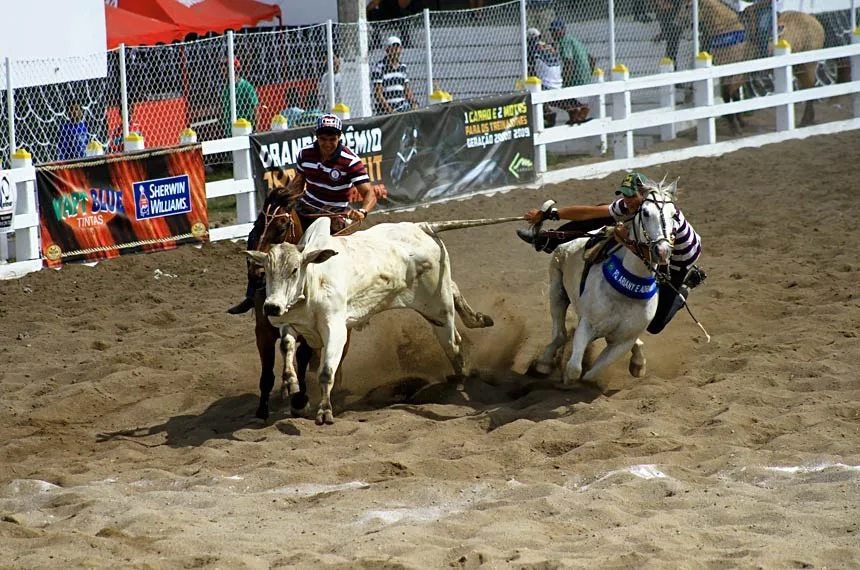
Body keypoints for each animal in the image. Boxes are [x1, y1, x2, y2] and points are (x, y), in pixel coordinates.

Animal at [245, 215, 510, 424]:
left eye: (294, 270)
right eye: (267, 270)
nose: (271, 306)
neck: (314, 280)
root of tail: (422, 226)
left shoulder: (336, 330)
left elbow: (327, 371)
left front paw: (325, 411)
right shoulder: (292, 323)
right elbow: (287, 344)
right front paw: (290, 382)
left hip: (439, 308)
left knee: (454, 345)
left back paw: (460, 383)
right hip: (439, 300)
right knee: (454, 295)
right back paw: (478, 319)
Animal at [532, 178, 680, 382]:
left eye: (674, 214)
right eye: (645, 212)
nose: (662, 250)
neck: (626, 293)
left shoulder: (623, 342)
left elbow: (592, 375)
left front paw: (636, 365)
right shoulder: (587, 325)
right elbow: (574, 369)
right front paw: (565, 381)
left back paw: (638, 363)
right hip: (557, 290)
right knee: (559, 334)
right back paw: (544, 363)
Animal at [696, 0, 824, 129]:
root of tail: (814, 21)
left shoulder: (741, 73)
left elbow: (729, 93)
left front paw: (735, 124)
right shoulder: (727, 73)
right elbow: (731, 94)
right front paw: (740, 122)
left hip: (808, 65)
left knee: (810, 88)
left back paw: (806, 119)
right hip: (798, 67)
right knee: (807, 88)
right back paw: (808, 118)